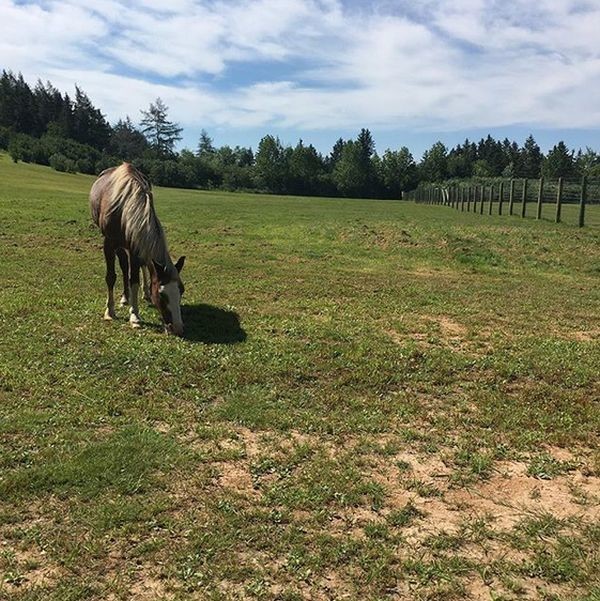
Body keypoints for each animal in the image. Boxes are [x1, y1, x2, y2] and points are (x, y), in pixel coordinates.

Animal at [89, 162, 185, 336]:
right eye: (161, 294)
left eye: (181, 290)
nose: (178, 328)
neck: (124, 208)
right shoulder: (109, 244)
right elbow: (111, 277)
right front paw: (110, 311)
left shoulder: (136, 246)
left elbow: (134, 279)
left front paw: (134, 315)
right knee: (123, 266)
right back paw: (124, 298)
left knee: (141, 267)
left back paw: (143, 293)